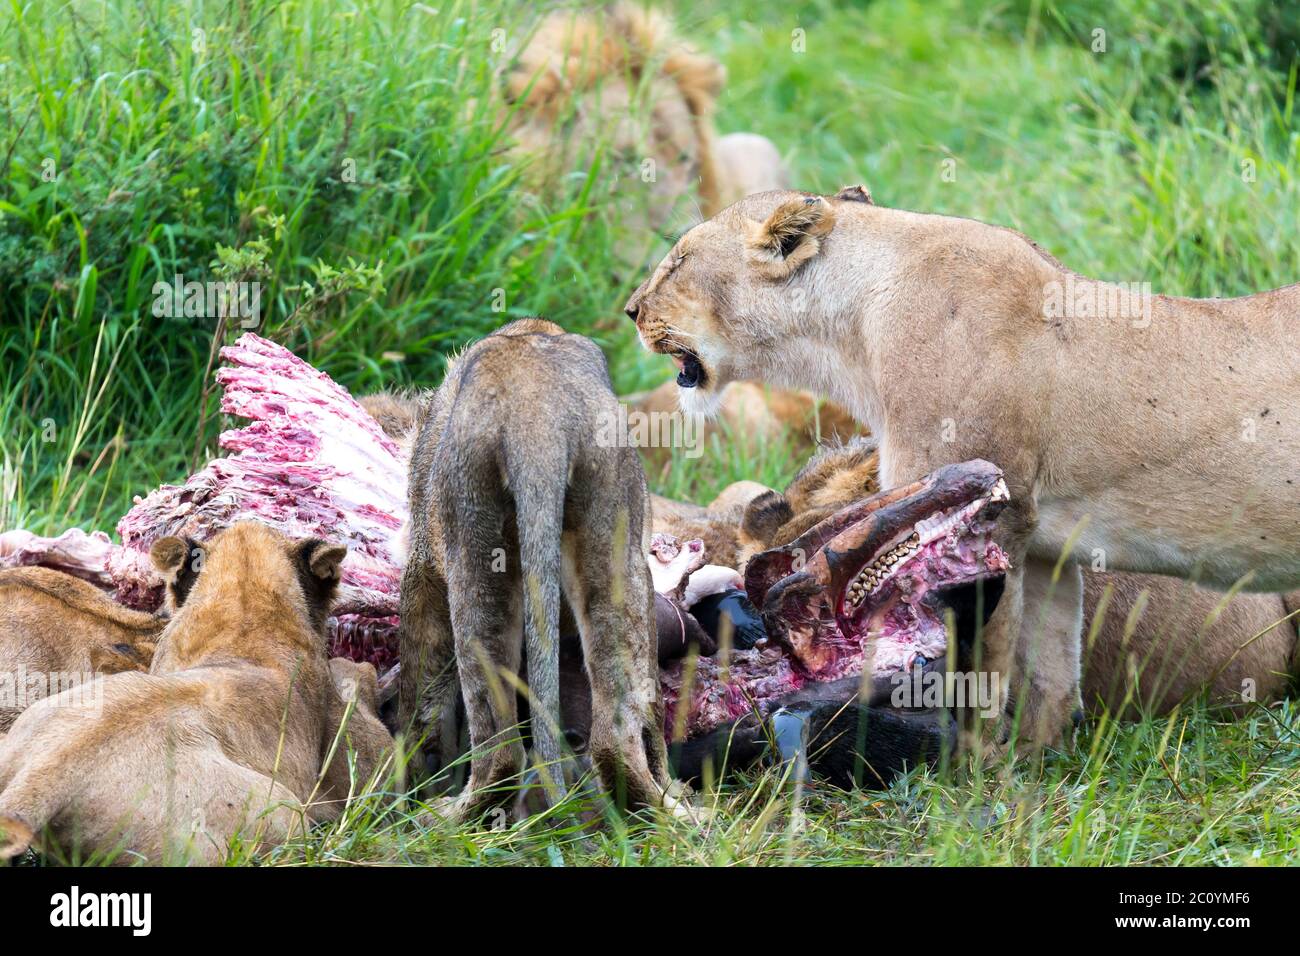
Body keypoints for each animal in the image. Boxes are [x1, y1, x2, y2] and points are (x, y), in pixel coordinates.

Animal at [624, 184, 1294, 749]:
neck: (853, 334)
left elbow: (984, 668)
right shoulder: (1049, 549)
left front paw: (969, 774)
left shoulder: (989, 515)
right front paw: (1025, 774)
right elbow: (1050, 676)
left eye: (678, 261)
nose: (630, 311)